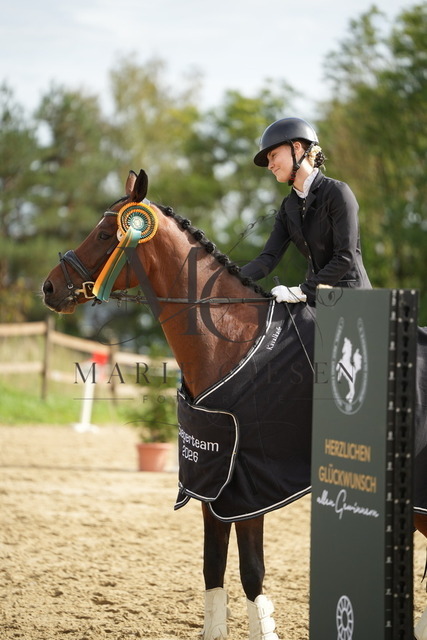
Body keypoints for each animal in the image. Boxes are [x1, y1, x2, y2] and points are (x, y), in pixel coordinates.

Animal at [42, 169, 427, 640]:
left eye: (102, 233)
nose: (49, 288)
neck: (229, 338)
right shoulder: (212, 480)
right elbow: (213, 568)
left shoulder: (248, 485)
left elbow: (251, 572)